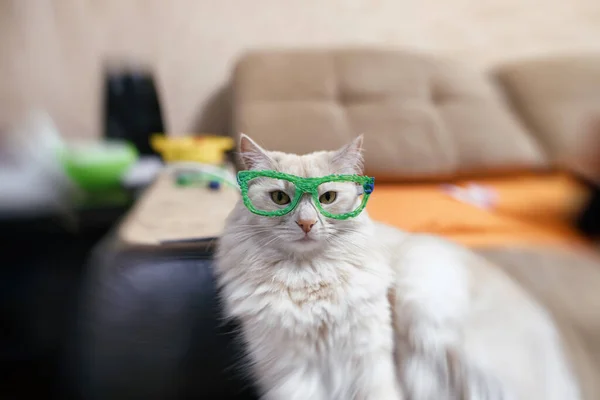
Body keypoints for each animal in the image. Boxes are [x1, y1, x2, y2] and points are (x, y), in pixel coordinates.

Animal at [213, 134, 580, 400]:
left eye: (328, 198)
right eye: (279, 198)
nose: (306, 224)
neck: (310, 281)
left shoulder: (368, 362)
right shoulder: (291, 372)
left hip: (427, 313)